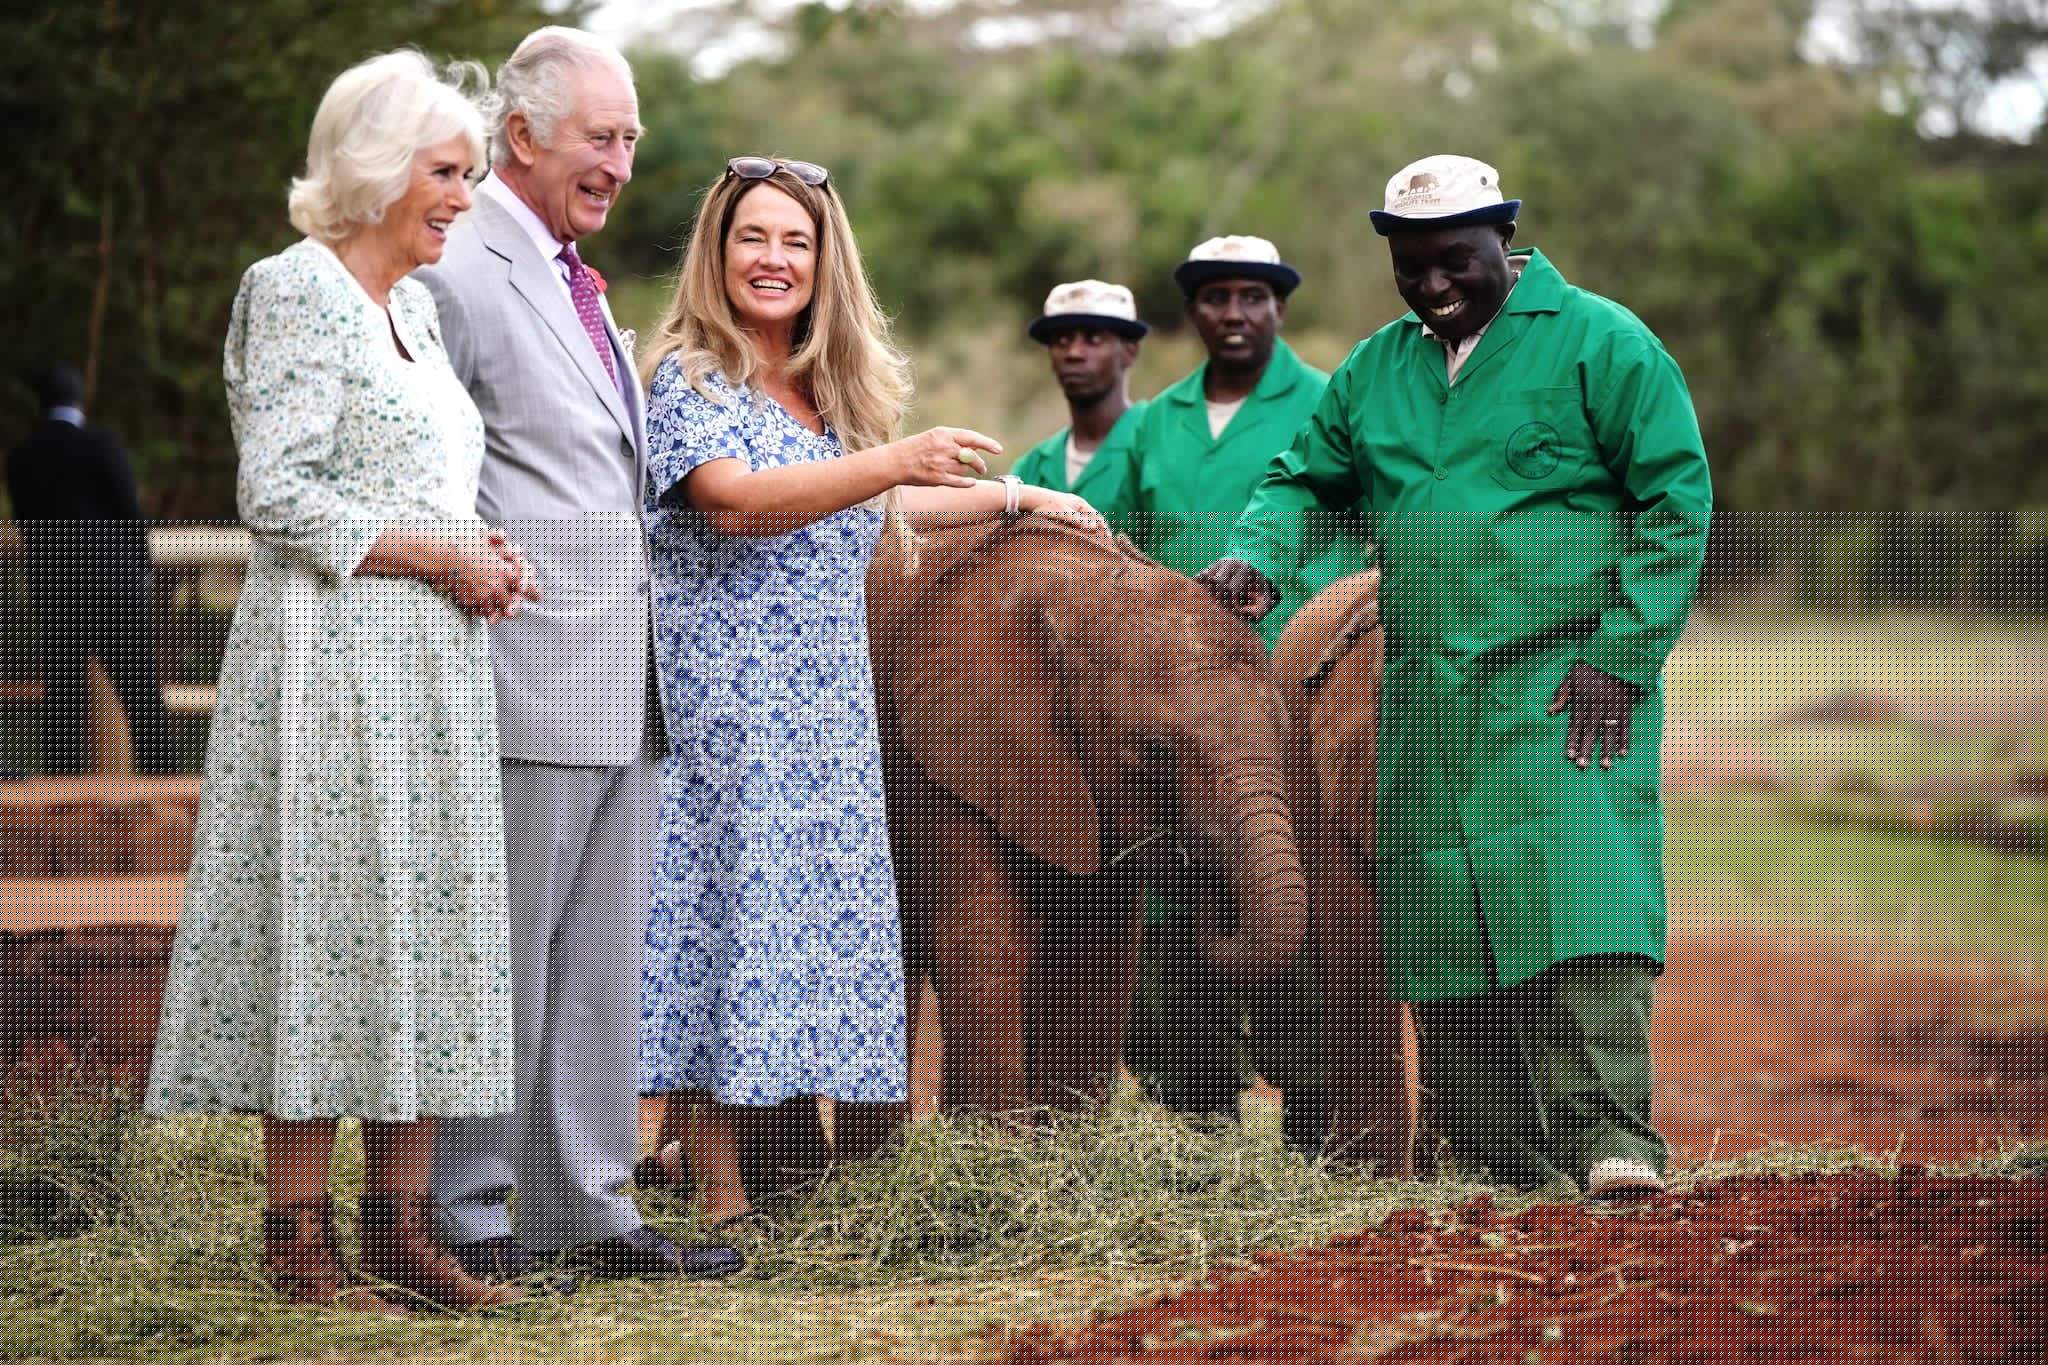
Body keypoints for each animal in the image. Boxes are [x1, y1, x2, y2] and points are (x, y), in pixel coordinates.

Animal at [832, 515, 1312, 1154]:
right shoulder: (944, 749)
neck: (1079, 593)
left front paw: (1067, 1150)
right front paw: (1001, 1158)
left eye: (1286, 739)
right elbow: (988, 942)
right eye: (1155, 753)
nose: (1209, 889)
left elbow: (1094, 954)